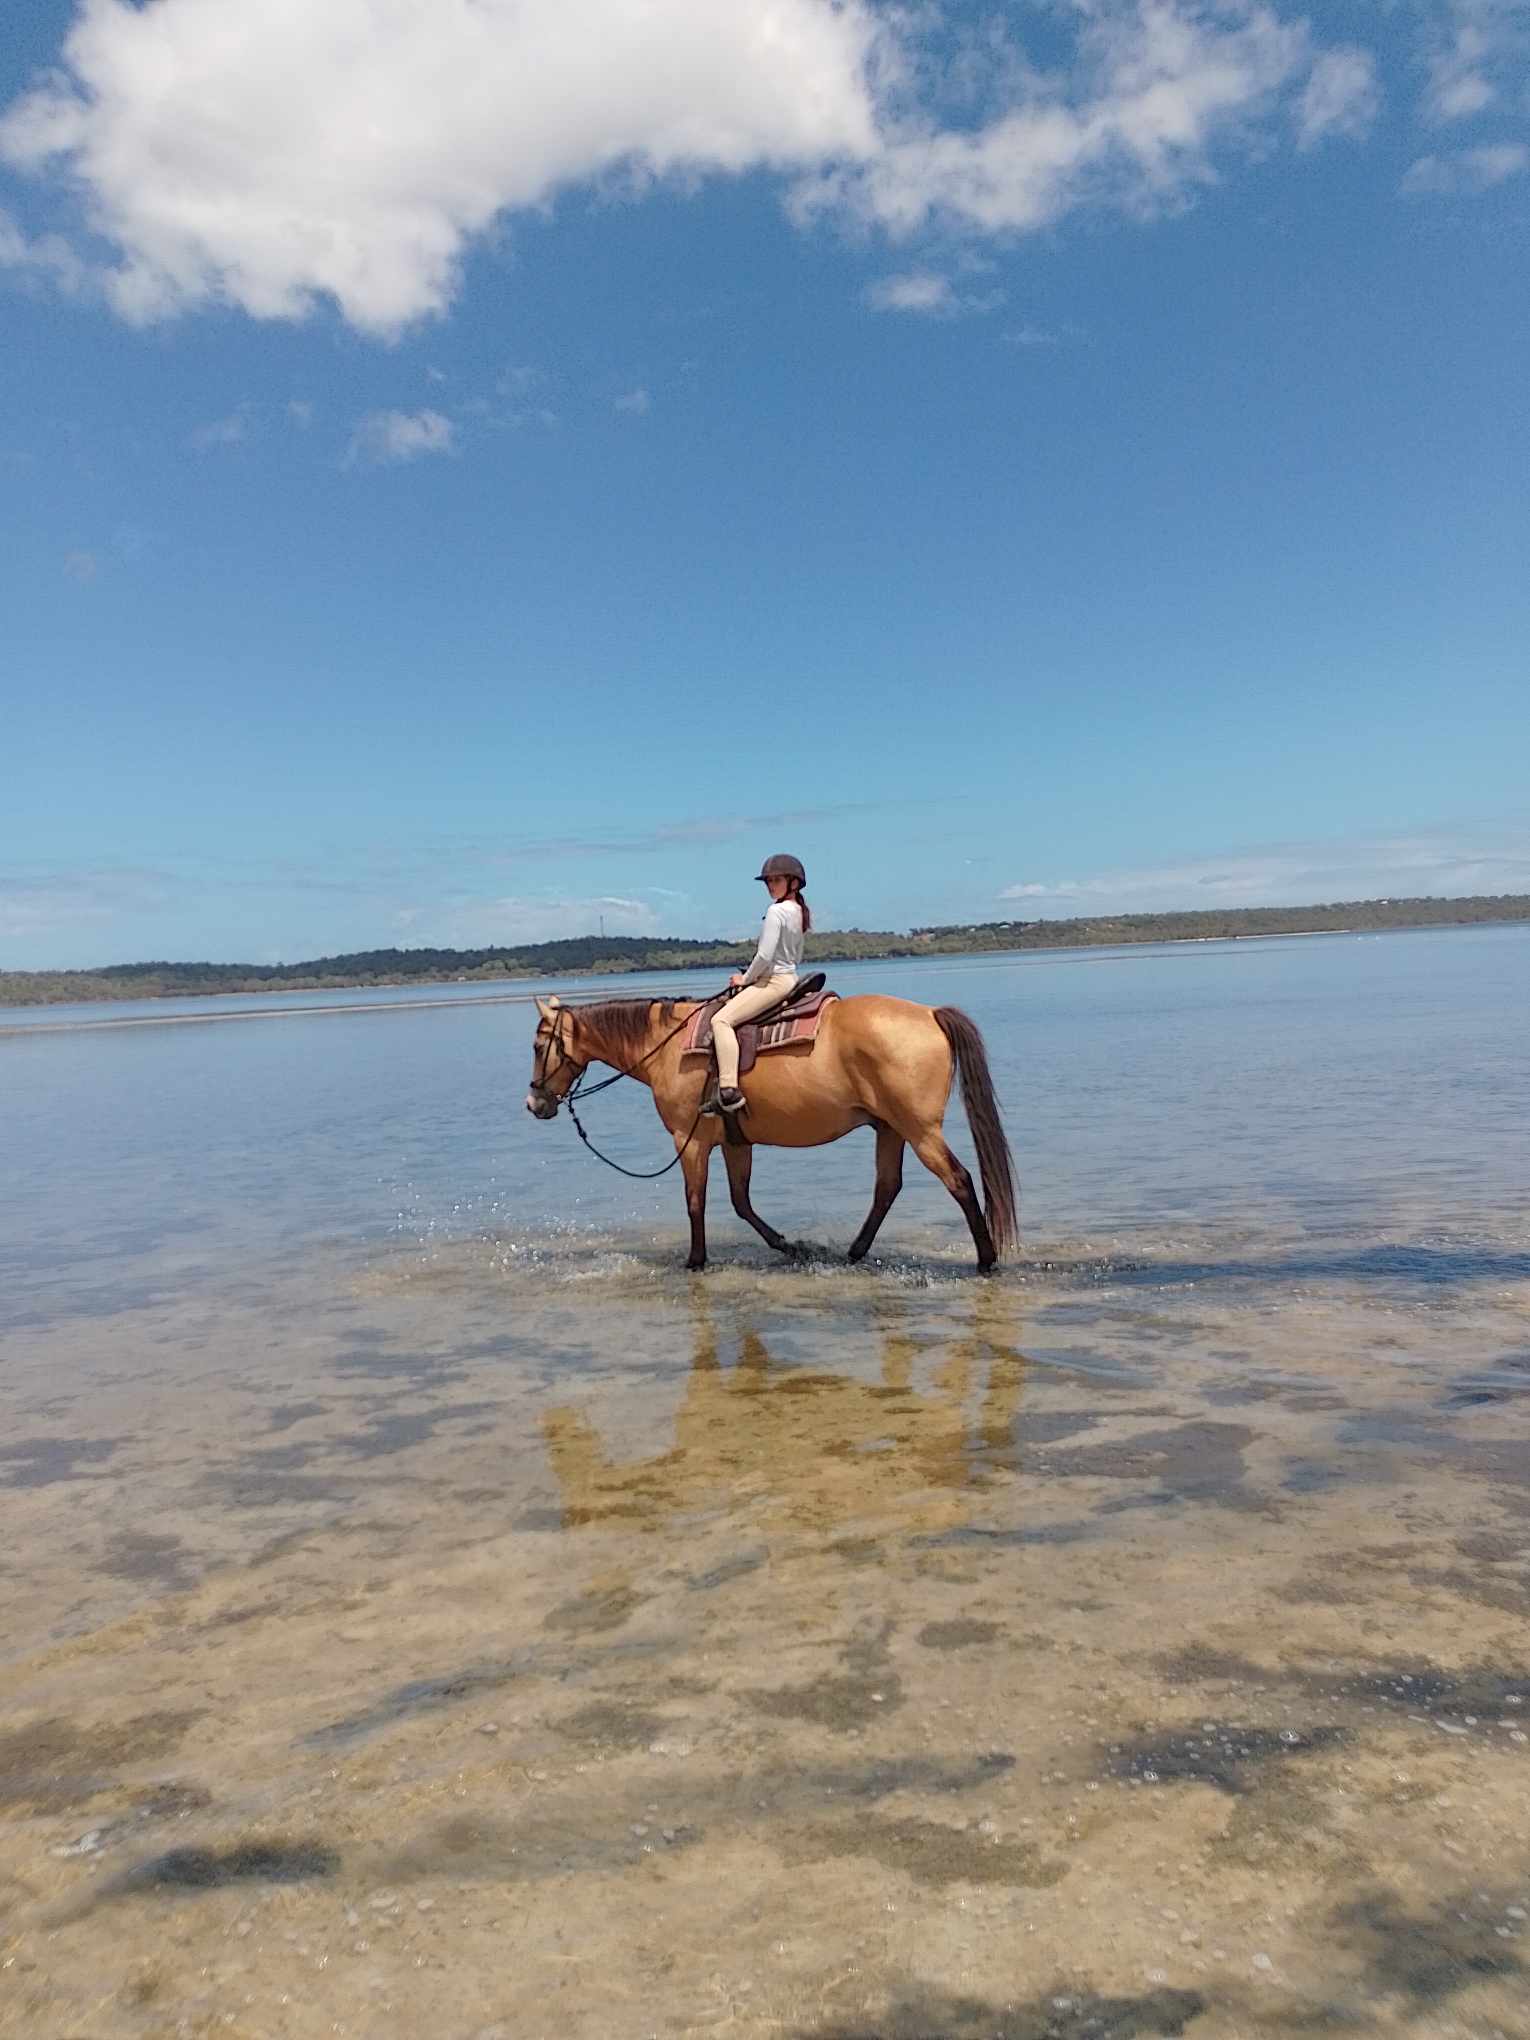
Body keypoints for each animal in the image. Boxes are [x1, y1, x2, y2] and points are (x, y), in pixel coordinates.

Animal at [525, 989, 1017, 1273]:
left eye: (536, 1045)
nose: (534, 1103)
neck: (666, 1045)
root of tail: (930, 1014)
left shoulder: (691, 1141)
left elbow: (695, 1201)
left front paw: (695, 1262)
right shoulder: (735, 1143)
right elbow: (741, 1202)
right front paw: (789, 1245)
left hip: (920, 1131)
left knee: (959, 1181)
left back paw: (986, 1260)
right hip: (890, 1129)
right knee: (887, 1188)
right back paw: (854, 1252)